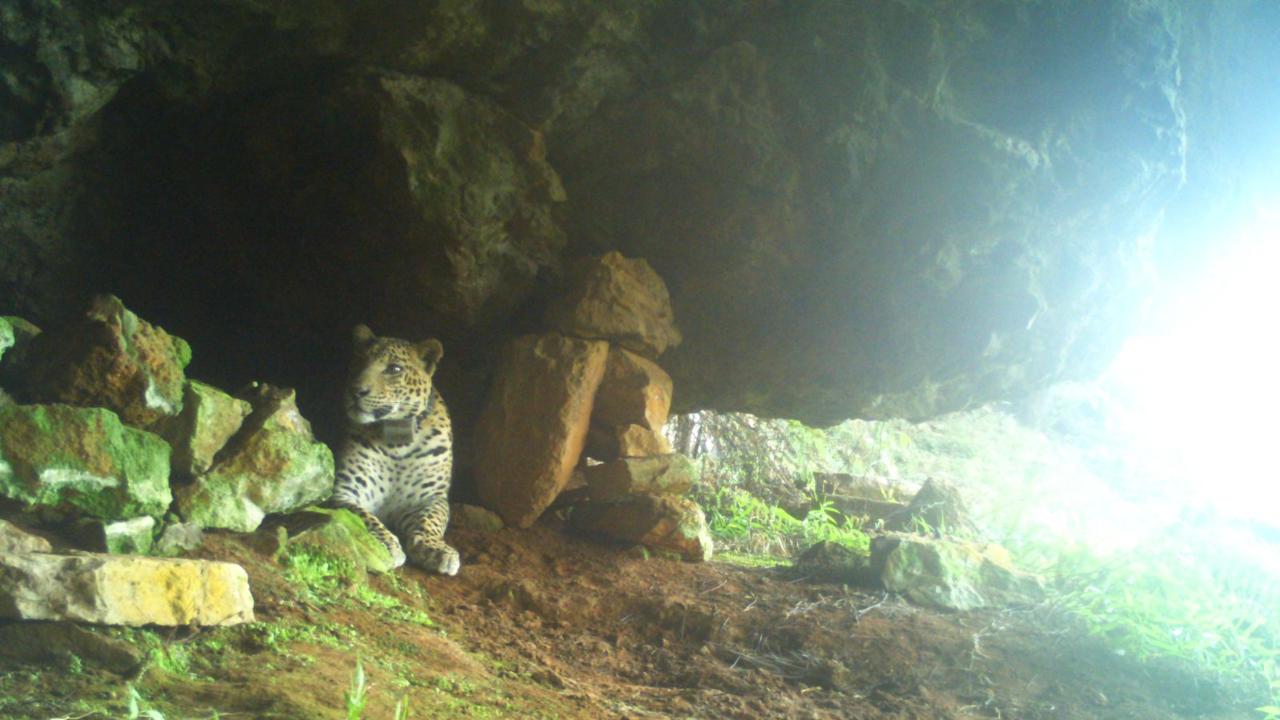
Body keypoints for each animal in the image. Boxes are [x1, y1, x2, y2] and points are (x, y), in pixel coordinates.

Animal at [329, 324, 460, 575]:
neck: (398, 440)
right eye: (359, 361)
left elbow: (431, 520)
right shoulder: (344, 491)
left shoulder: (430, 498)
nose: (356, 390)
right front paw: (386, 544)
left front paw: (437, 549)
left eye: (394, 369)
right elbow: (364, 516)